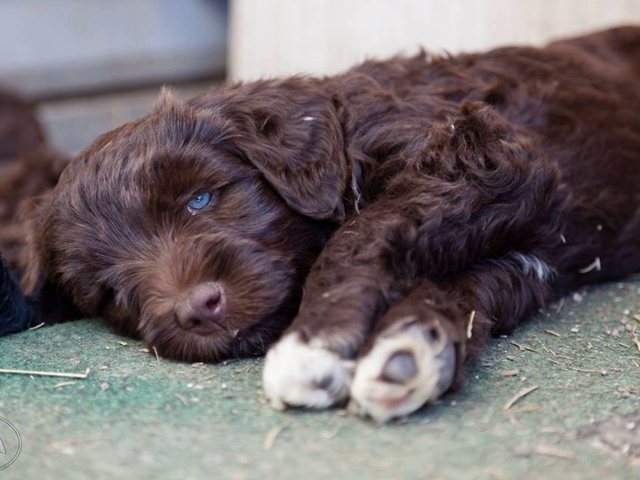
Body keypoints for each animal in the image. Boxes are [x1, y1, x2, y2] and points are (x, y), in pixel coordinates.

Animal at [18, 26, 640, 420]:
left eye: (201, 198)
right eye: (110, 292)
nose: (197, 309)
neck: (349, 136)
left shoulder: (485, 157)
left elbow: (357, 237)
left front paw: (311, 345)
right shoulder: (526, 259)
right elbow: (465, 289)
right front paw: (409, 352)